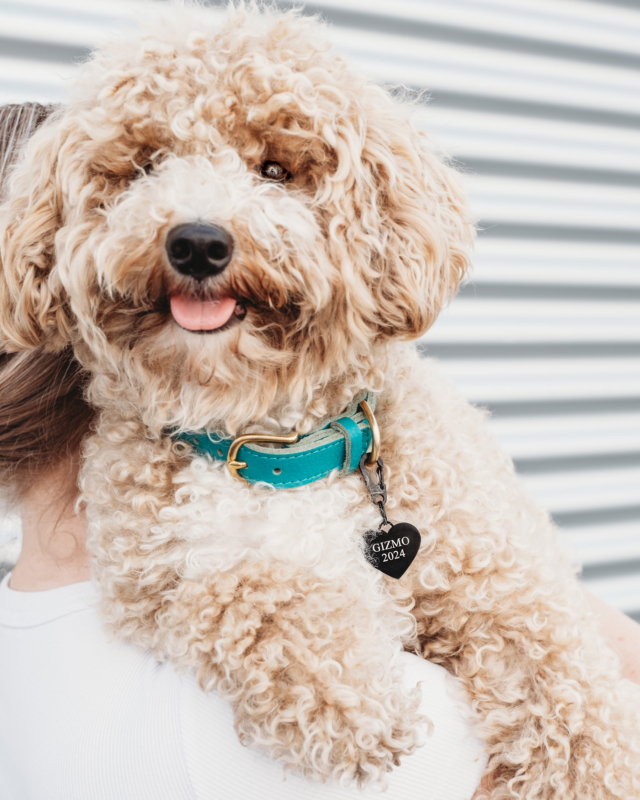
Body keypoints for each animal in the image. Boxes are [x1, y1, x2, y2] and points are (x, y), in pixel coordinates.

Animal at [1, 3, 640, 796]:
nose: (197, 242)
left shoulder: (501, 583)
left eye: (275, 169)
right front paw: (355, 699)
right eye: (145, 165)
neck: (278, 441)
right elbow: (251, 586)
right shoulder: (159, 571)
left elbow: (571, 692)